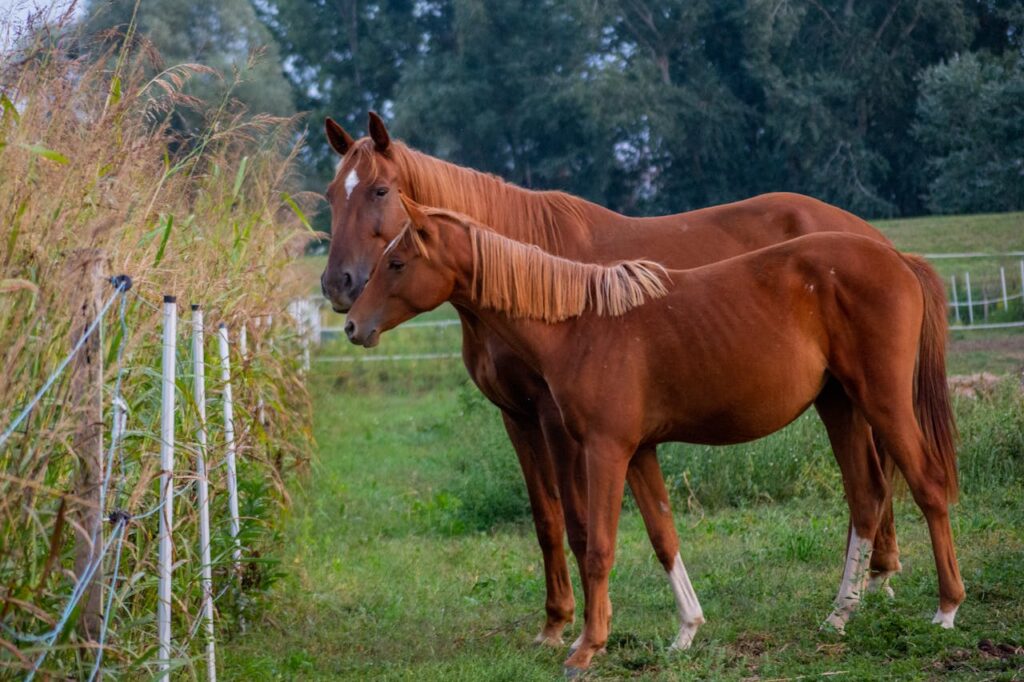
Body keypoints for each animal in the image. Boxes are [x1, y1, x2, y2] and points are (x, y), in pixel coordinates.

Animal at [319, 113, 904, 648]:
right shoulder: (516, 417)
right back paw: (871, 582)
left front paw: (584, 625)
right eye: (329, 195)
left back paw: (870, 585)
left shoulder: (558, 421)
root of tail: (871, 236)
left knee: (873, 480)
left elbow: (582, 524)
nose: (338, 286)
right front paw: (555, 621)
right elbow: (546, 520)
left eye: (380, 190)